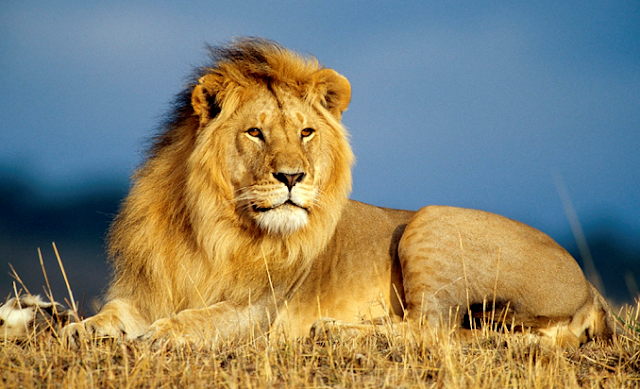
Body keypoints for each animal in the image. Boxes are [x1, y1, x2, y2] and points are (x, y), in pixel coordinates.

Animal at [60, 38, 616, 348]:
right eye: (255, 133)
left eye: (306, 132)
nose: (292, 177)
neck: (210, 226)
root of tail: (591, 289)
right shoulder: (147, 289)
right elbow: (113, 313)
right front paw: (77, 329)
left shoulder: (261, 310)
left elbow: (206, 317)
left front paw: (165, 333)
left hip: (430, 221)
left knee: (432, 330)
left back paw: (333, 331)